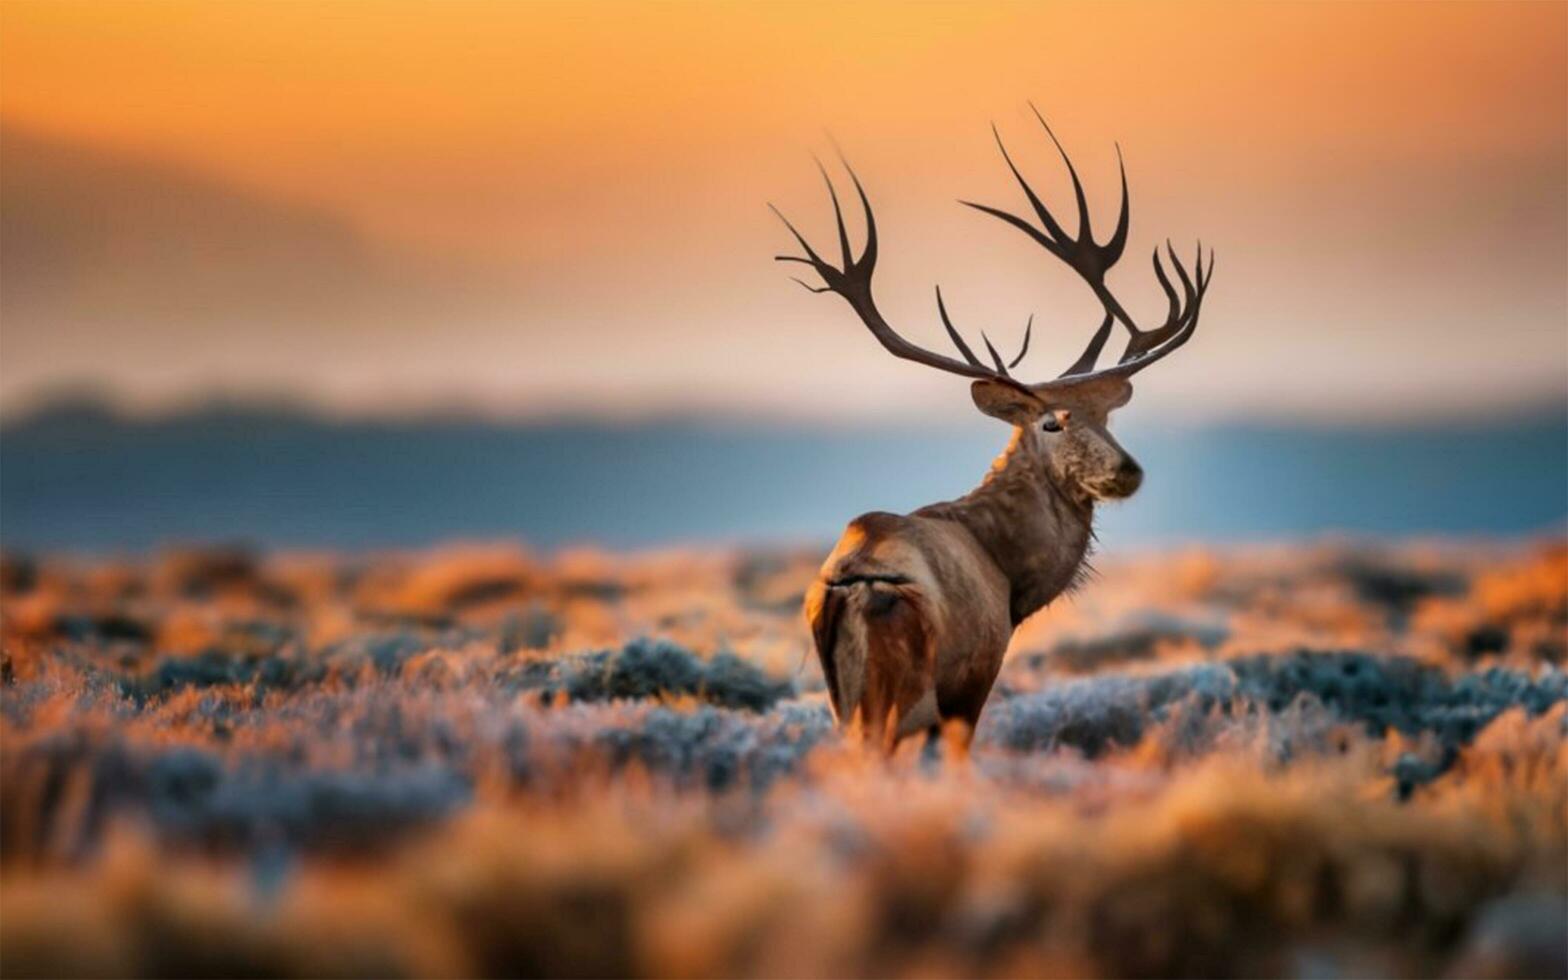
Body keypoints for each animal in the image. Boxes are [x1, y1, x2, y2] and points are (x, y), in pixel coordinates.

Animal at [771, 108, 1210, 749]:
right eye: (1052, 422)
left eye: (1107, 416)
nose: (1127, 470)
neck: (1009, 576)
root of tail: (859, 583)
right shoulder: (971, 685)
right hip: (899, 694)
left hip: (844, 704)